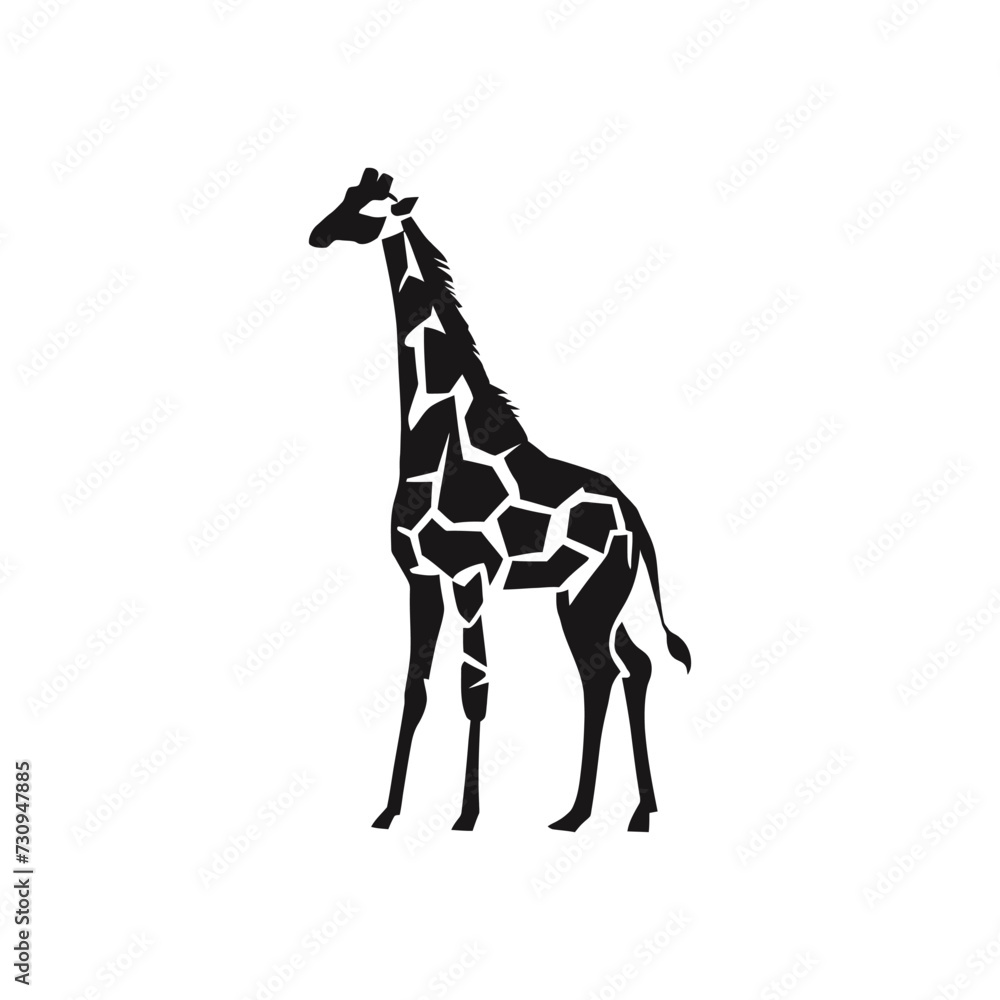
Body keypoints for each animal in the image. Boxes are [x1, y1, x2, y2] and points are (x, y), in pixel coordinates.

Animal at [309, 168, 691, 833]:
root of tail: (637, 518)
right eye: (345, 196)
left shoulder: (470, 579)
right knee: (628, 667)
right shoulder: (421, 580)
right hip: (591, 598)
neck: (441, 445)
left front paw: (466, 815)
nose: (317, 234)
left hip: (590, 597)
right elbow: (415, 689)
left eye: (368, 210)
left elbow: (475, 688)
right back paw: (616, 811)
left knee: (607, 672)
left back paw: (598, 813)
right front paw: (389, 810)